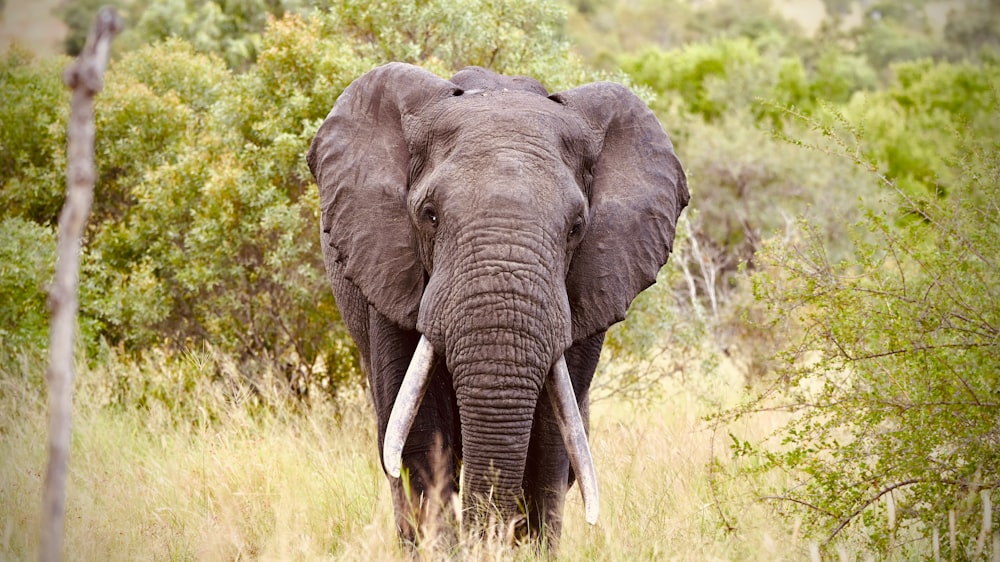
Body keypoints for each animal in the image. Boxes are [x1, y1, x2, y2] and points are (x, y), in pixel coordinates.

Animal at [306, 62, 688, 548]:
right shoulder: (389, 269)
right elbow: (418, 437)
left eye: (576, 227)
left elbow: (551, 441)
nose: (488, 540)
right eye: (429, 215)